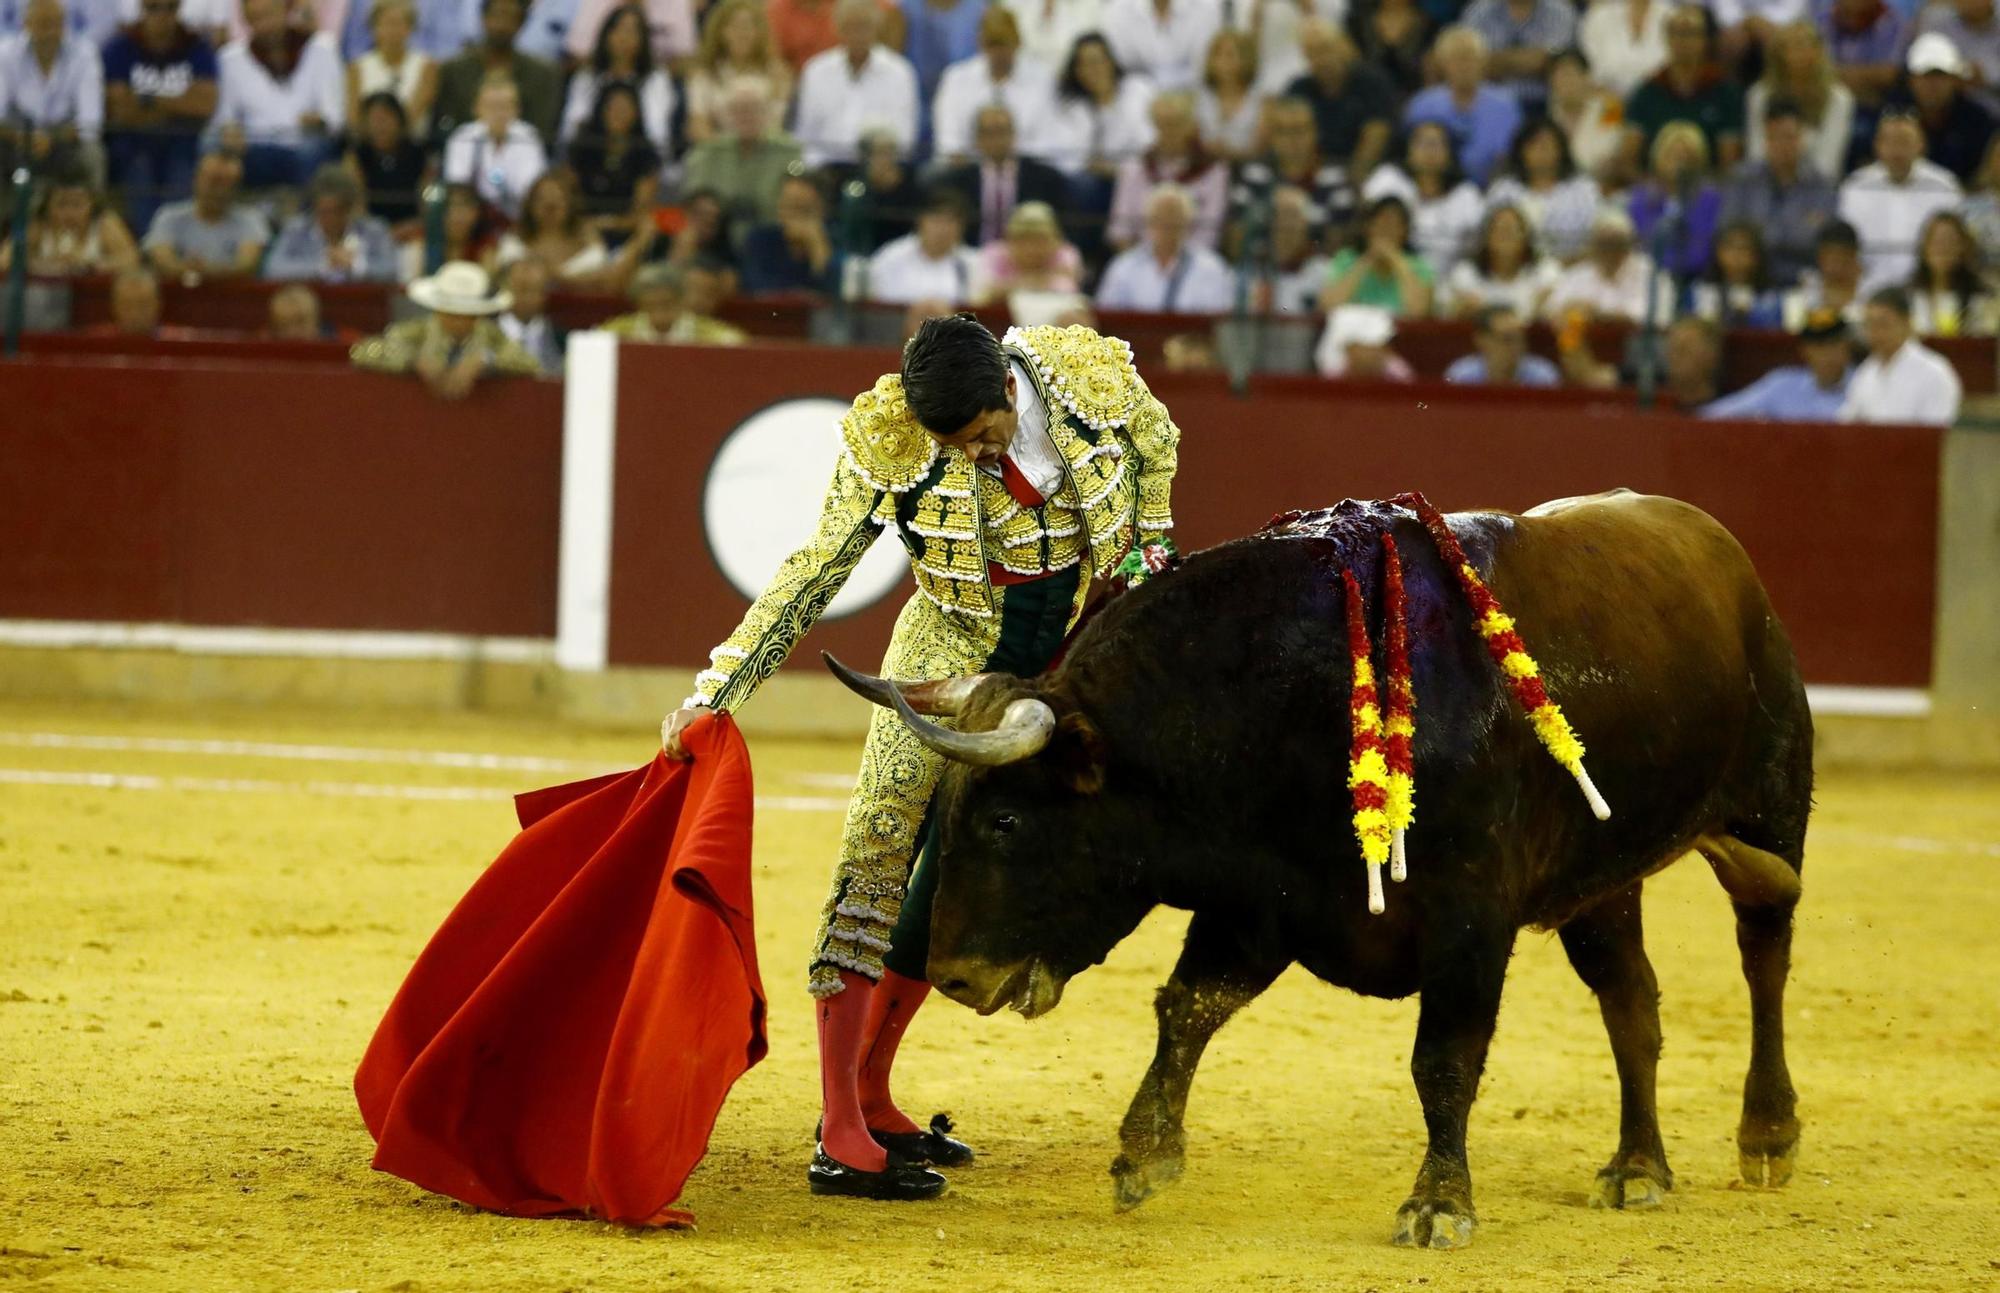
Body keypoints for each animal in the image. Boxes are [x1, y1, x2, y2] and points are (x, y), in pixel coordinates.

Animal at [828, 492, 1816, 1248]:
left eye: (1004, 819)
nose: (954, 973)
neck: (1285, 696)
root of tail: (1732, 560)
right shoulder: (1264, 901)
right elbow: (1187, 1007)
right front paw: (1144, 1155)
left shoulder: (1470, 921)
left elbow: (1443, 1059)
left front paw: (1437, 1204)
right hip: (1601, 886)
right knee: (1632, 1003)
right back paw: (1639, 1165)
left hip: (1770, 814)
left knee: (1764, 951)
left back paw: (1767, 1134)